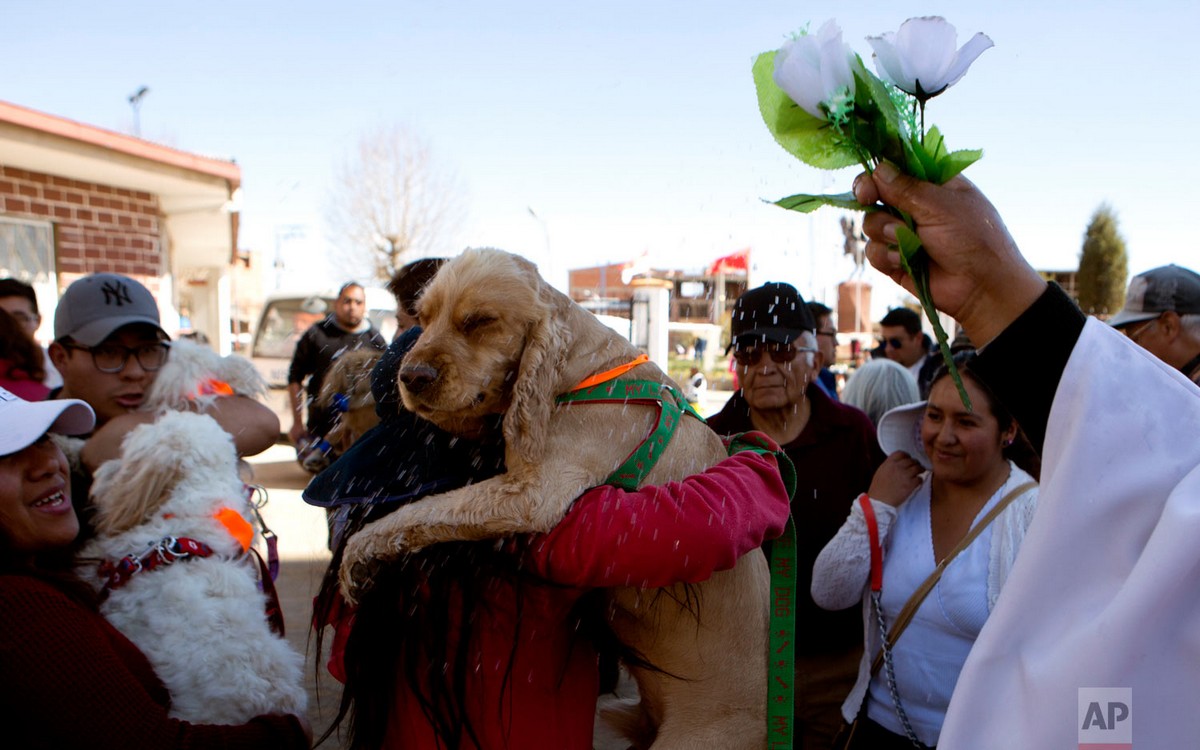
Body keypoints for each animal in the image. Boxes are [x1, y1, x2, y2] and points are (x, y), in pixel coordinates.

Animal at [340, 249, 768, 748]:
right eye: (424, 318)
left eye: (480, 321)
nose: (410, 376)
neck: (578, 375)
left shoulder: (533, 492)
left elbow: (426, 508)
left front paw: (358, 555)